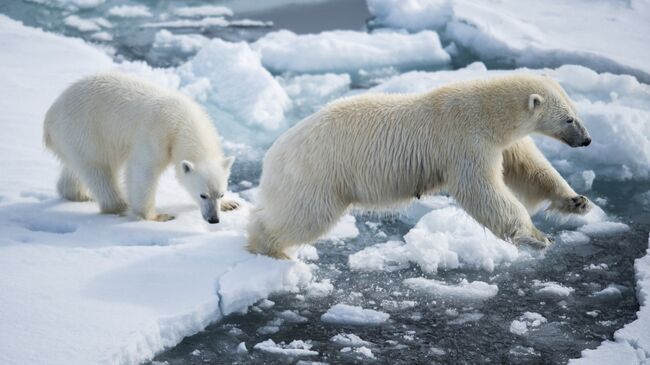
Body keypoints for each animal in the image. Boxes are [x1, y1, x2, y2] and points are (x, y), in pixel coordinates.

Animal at [45, 72, 238, 222]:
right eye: (203, 195)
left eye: (220, 194)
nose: (214, 219)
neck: (183, 121)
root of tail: (50, 117)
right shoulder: (156, 136)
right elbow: (142, 171)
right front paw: (157, 216)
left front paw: (230, 204)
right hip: (85, 130)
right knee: (99, 170)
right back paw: (119, 205)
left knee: (76, 169)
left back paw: (78, 194)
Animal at [248, 74, 592, 258]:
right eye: (569, 119)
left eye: (576, 112)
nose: (587, 140)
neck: (487, 112)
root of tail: (272, 154)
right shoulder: (465, 141)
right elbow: (482, 190)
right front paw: (536, 236)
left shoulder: (502, 143)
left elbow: (530, 169)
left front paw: (577, 201)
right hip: (317, 172)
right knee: (305, 215)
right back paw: (269, 246)